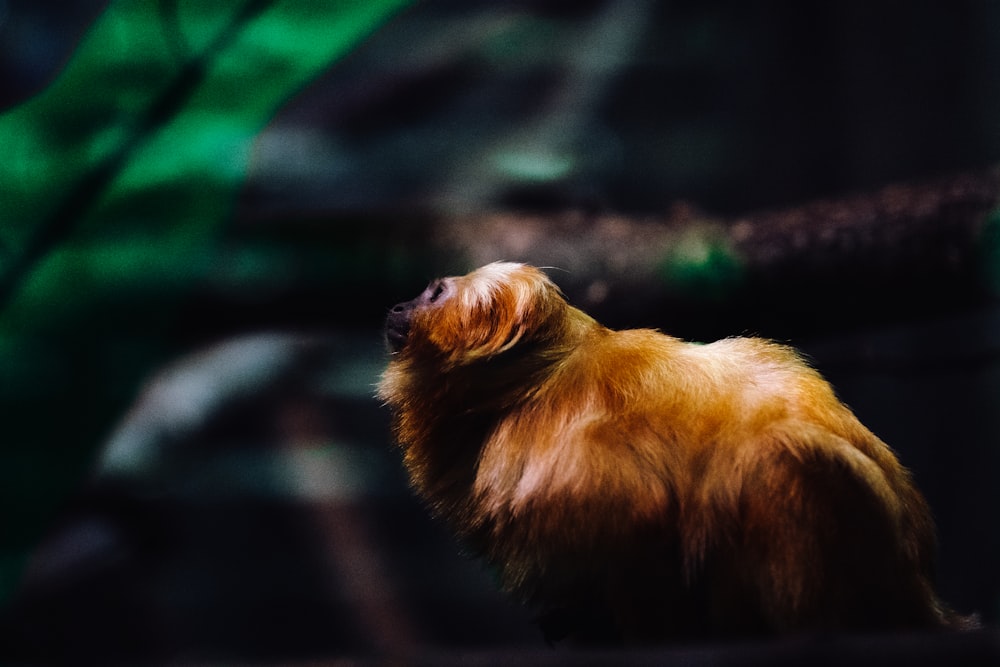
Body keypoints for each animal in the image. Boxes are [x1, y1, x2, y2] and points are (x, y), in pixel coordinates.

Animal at [376, 260, 976, 640]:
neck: (528, 385)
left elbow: (638, 519)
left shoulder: (578, 451)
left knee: (775, 457)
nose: (399, 305)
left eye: (434, 294)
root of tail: (916, 584)